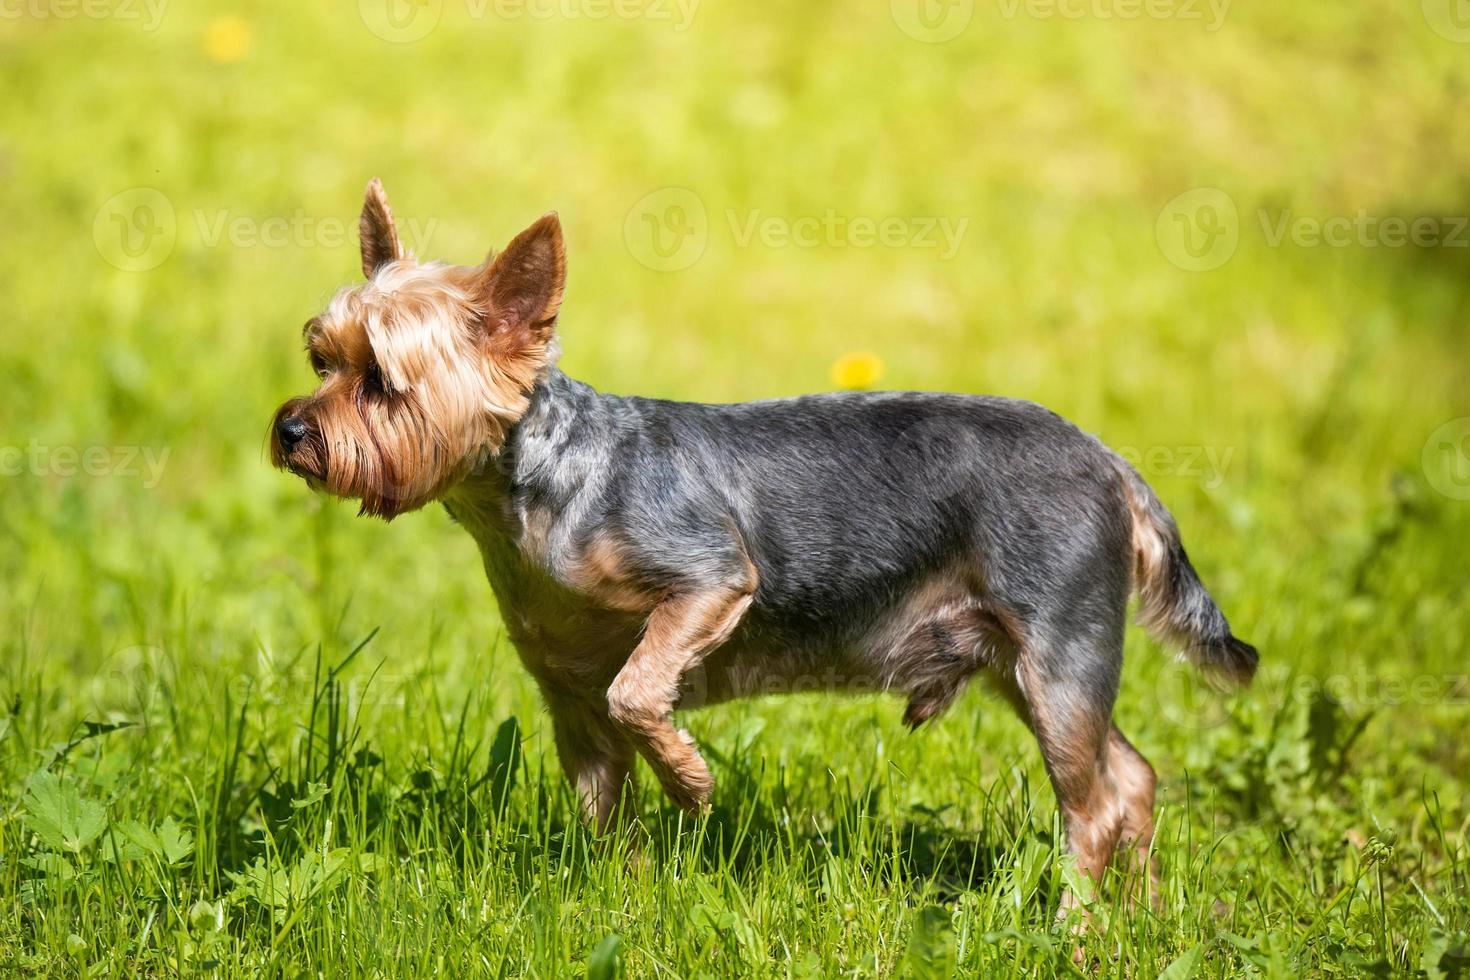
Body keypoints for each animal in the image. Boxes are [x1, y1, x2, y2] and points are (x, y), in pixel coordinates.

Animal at [270, 179, 1258, 899]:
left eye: (381, 382)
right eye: (320, 359)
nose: (288, 429)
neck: (531, 492)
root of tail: (1112, 463)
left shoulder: (710, 579)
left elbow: (639, 690)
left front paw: (691, 781)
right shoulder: (566, 696)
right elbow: (602, 803)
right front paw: (620, 895)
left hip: (1059, 644)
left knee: (1091, 809)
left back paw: (1075, 926)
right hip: (1024, 663)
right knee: (1129, 779)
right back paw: (1143, 915)